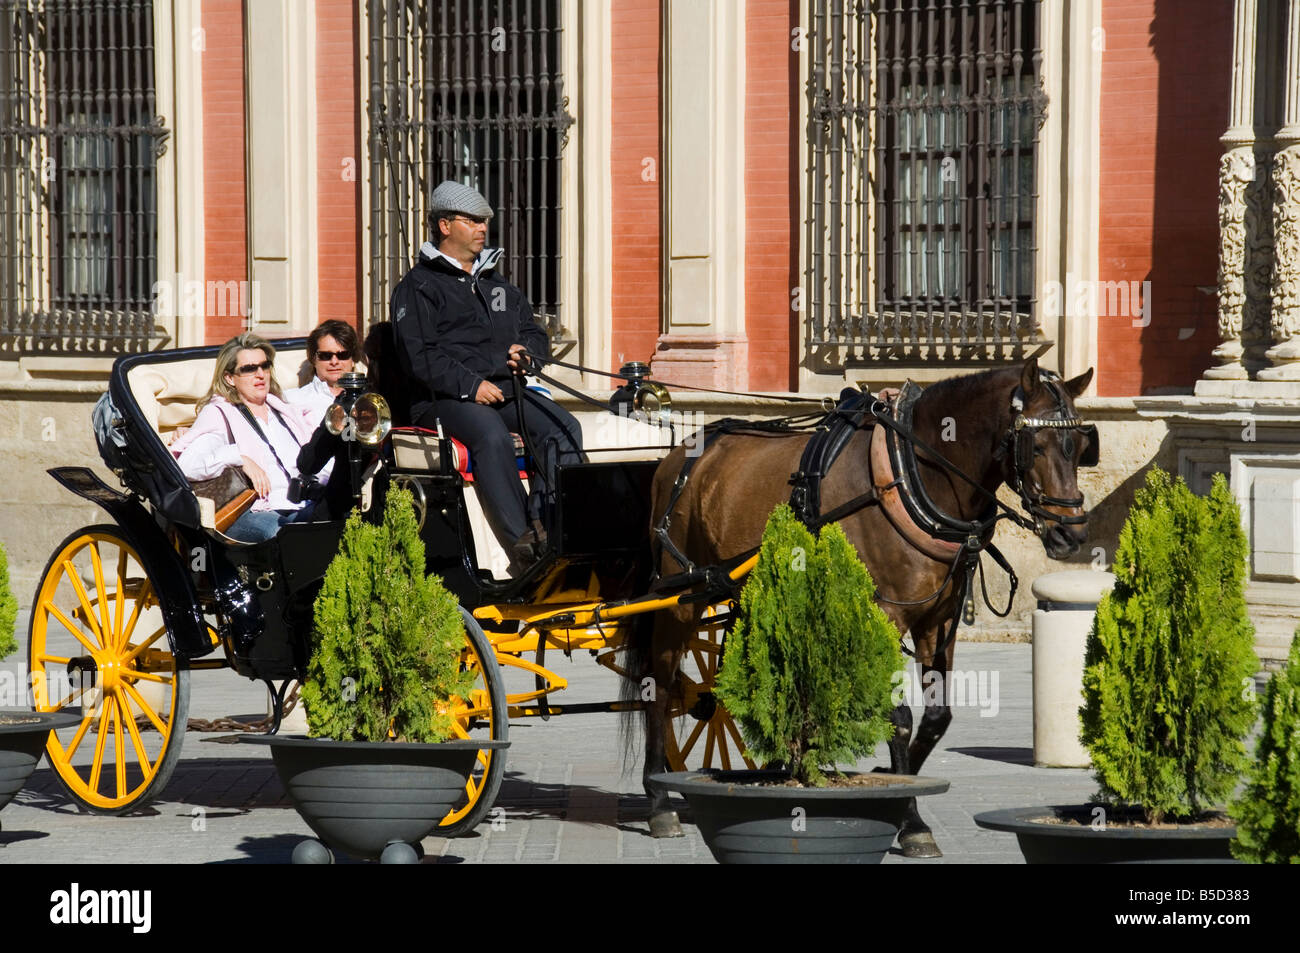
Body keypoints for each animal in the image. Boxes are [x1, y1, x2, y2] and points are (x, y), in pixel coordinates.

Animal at [629, 356, 1097, 852]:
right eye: (1035, 445)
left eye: (1080, 447)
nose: (1071, 535)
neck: (912, 474)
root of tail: (678, 457)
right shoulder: (882, 615)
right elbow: (899, 717)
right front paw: (911, 819)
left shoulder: (938, 620)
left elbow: (937, 717)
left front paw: (892, 779)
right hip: (677, 599)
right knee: (659, 688)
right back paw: (659, 802)